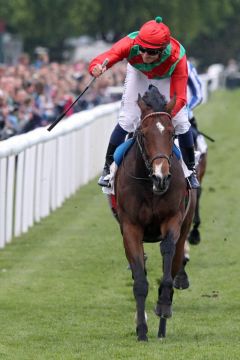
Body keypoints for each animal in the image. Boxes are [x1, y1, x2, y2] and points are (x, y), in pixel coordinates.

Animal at [113, 86, 196, 342]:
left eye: (172, 133)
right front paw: (141, 329)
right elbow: (140, 280)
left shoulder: (173, 221)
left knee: (176, 261)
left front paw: (163, 306)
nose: (161, 177)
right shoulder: (130, 227)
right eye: (142, 133)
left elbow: (167, 259)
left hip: (185, 225)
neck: (149, 185)